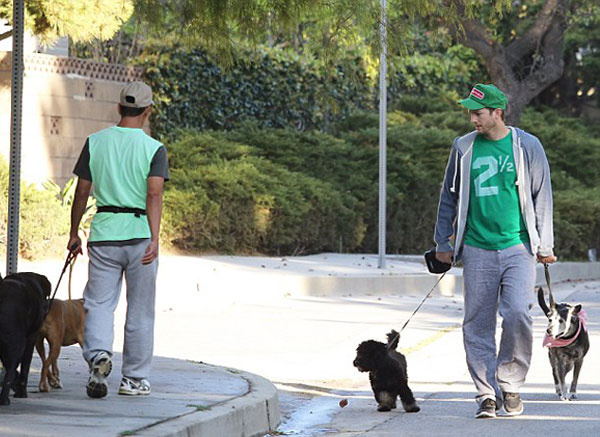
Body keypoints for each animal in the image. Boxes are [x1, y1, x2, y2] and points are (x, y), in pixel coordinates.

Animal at [0, 270, 51, 404]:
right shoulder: (31, 336)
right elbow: (25, 364)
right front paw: (21, 392)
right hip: (17, 340)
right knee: (13, 365)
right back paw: (5, 399)